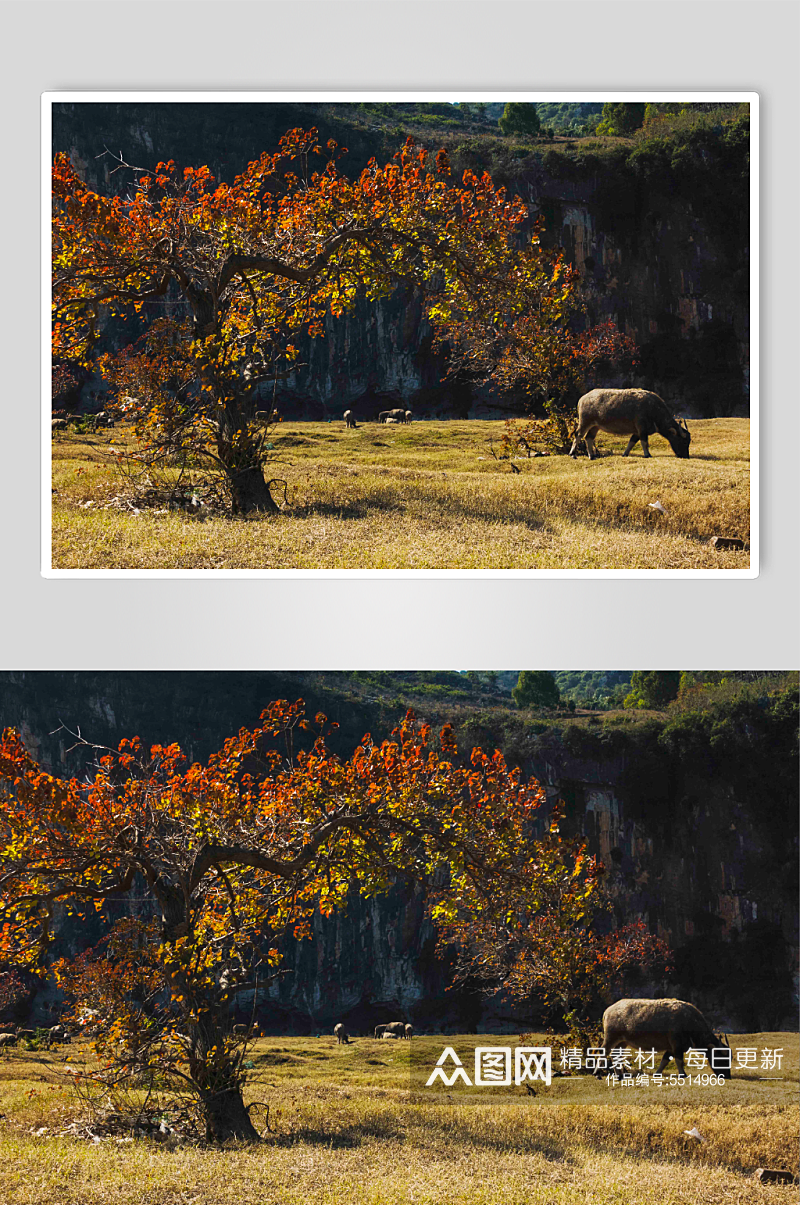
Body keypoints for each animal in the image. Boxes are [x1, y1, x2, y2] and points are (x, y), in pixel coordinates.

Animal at [600, 1002, 732, 1079]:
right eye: (721, 1059)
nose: (727, 1076)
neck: (689, 1021)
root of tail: (607, 1011)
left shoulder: (671, 1048)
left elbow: (665, 1060)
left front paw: (657, 1073)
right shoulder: (676, 1045)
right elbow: (679, 1060)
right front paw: (683, 1074)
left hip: (622, 1042)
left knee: (615, 1055)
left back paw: (620, 1075)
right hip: (611, 1038)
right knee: (604, 1052)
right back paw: (598, 1073)